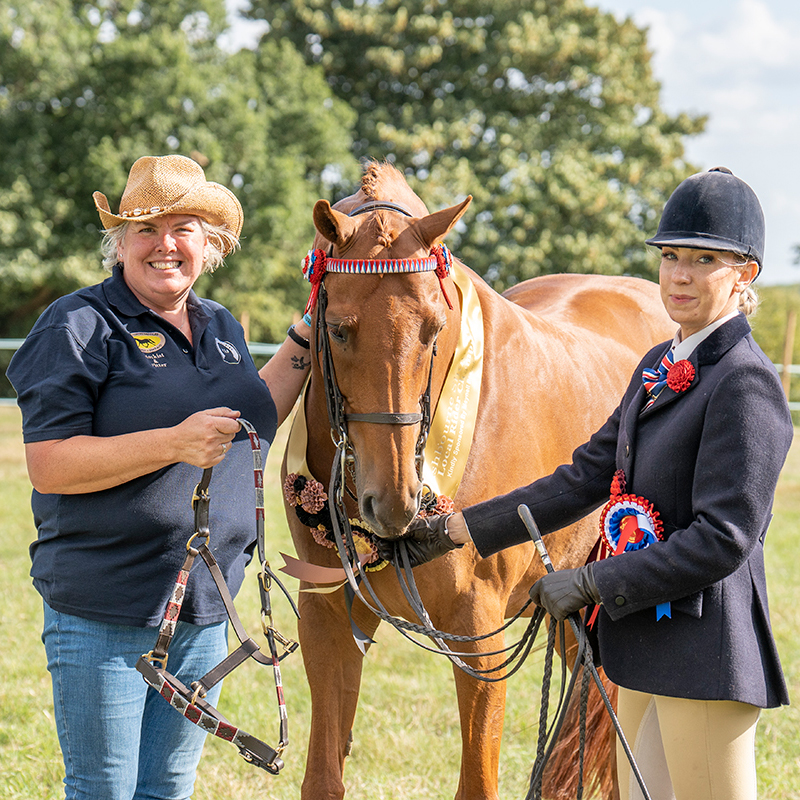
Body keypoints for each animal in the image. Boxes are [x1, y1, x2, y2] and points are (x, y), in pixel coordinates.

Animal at [282, 159, 676, 796]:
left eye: (432, 328)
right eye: (337, 329)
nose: (393, 504)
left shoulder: (482, 637)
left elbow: (478, 781)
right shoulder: (328, 621)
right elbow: (322, 777)